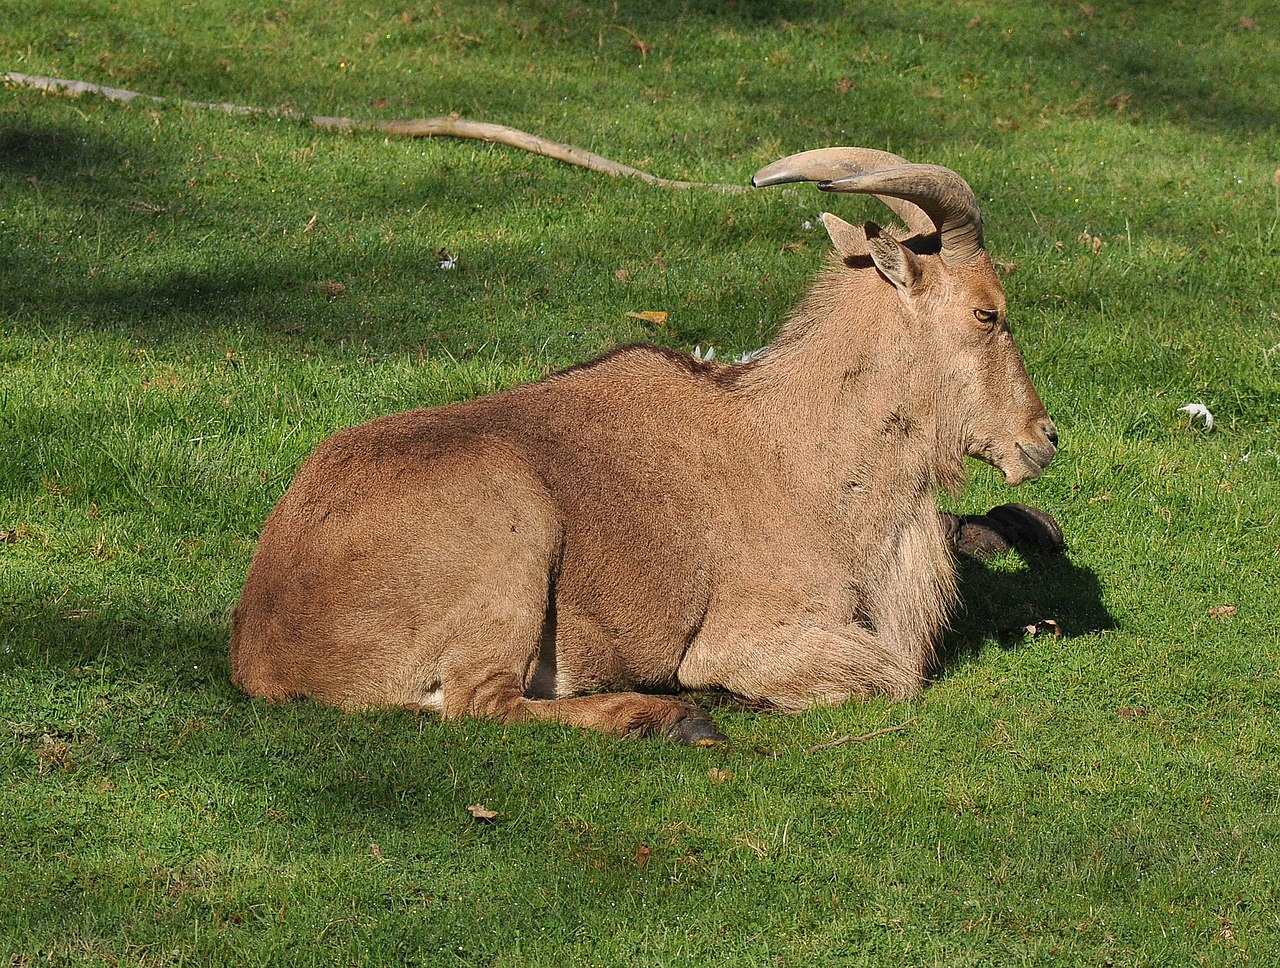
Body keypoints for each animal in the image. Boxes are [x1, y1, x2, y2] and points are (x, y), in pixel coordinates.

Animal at [230, 145, 1059, 744]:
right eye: (988, 312)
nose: (1042, 437)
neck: (802, 451)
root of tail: (264, 644)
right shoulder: (752, 635)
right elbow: (889, 678)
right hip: (512, 541)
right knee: (484, 703)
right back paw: (669, 717)